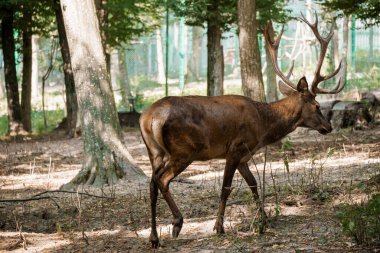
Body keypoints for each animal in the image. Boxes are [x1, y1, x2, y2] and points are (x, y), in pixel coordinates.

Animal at [139, 14, 344, 249]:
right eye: (317, 105)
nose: (328, 127)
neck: (263, 126)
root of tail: (149, 118)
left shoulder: (244, 156)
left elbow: (254, 183)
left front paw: (264, 220)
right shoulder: (235, 148)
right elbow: (226, 187)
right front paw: (219, 227)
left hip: (154, 151)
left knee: (152, 183)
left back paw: (154, 238)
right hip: (183, 150)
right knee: (162, 180)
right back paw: (177, 223)